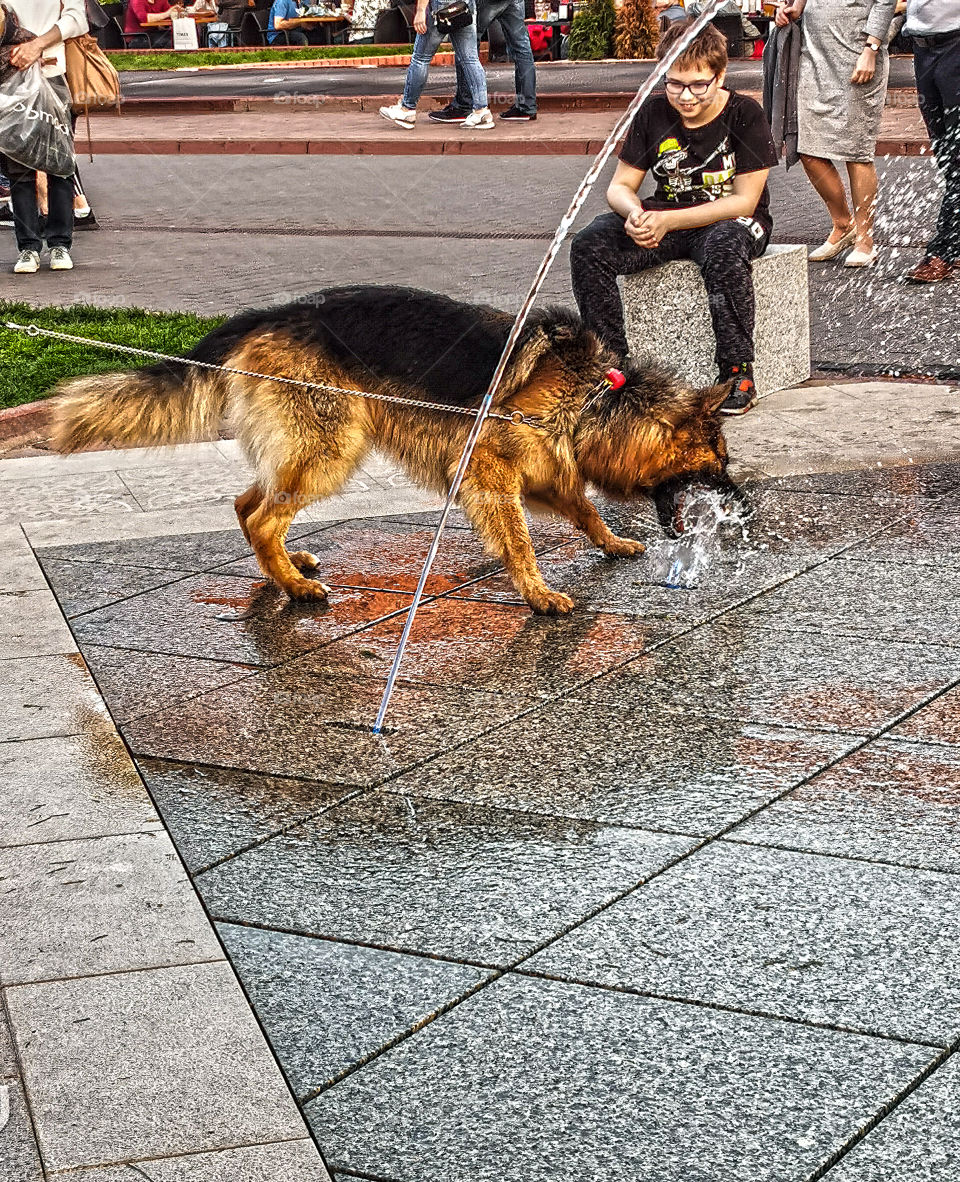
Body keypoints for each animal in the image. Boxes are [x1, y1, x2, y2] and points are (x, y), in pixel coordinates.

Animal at [52, 284, 733, 614]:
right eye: (719, 463)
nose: (742, 505)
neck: (590, 394)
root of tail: (272, 315)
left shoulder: (549, 471)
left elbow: (585, 507)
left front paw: (610, 541)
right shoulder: (490, 473)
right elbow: (518, 540)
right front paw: (536, 593)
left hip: (305, 450)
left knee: (248, 506)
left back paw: (286, 568)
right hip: (331, 450)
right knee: (264, 515)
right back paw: (293, 587)